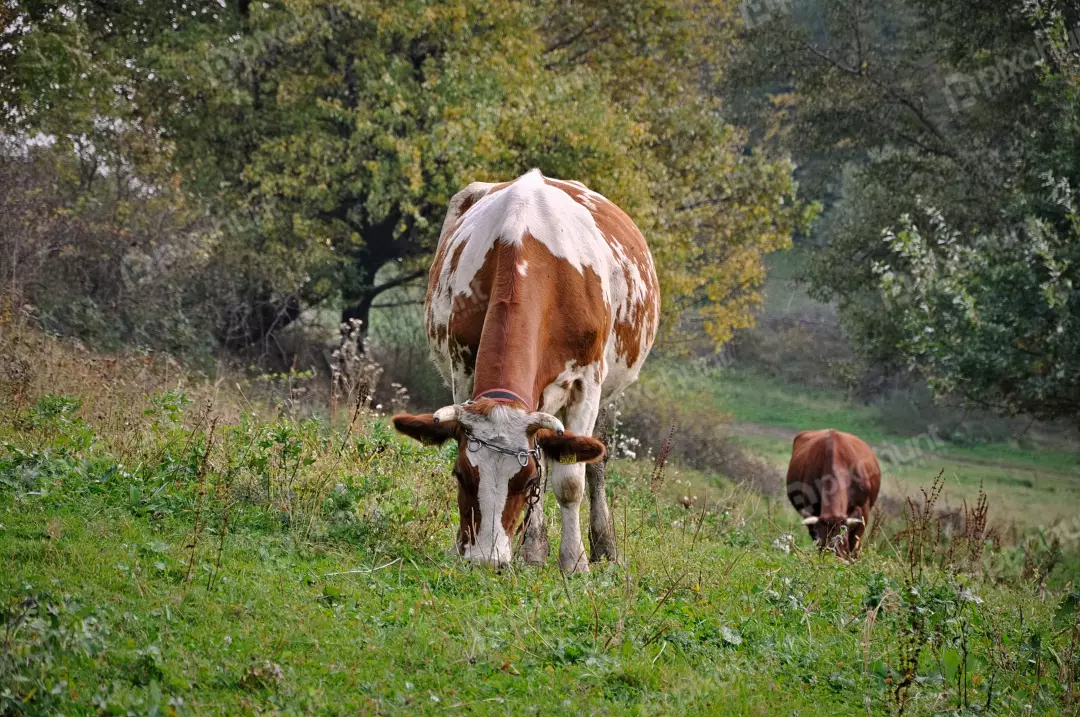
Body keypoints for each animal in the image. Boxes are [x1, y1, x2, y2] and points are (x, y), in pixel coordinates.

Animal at [392, 169, 660, 572]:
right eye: (461, 474)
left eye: (524, 481)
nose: (487, 560)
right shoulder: (462, 369)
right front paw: (472, 547)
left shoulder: (587, 383)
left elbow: (569, 479)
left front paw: (574, 561)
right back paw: (534, 547)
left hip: (608, 390)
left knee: (594, 460)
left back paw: (604, 546)